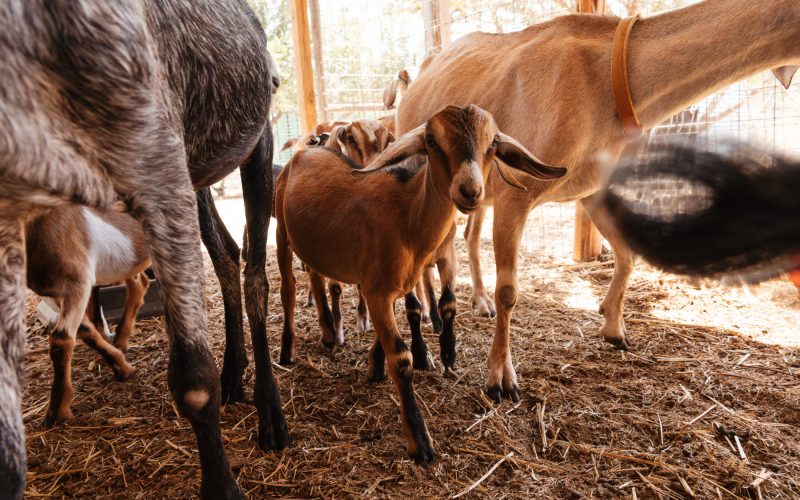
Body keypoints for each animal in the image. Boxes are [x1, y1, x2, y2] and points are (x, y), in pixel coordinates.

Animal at [26, 207, 151, 425]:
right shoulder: (57, 292)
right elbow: (84, 331)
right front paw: (121, 366)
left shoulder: (77, 282)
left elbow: (60, 340)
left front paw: (57, 410)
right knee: (139, 283)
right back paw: (120, 340)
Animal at [275, 105, 566, 462]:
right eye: (430, 139)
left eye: (494, 142)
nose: (470, 191)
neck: (406, 214)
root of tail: (307, 150)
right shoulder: (377, 290)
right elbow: (401, 357)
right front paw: (420, 440)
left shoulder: (393, 285)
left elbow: (405, 323)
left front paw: (375, 364)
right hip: (281, 233)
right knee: (288, 288)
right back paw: (288, 349)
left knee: (316, 279)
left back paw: (330, 333)